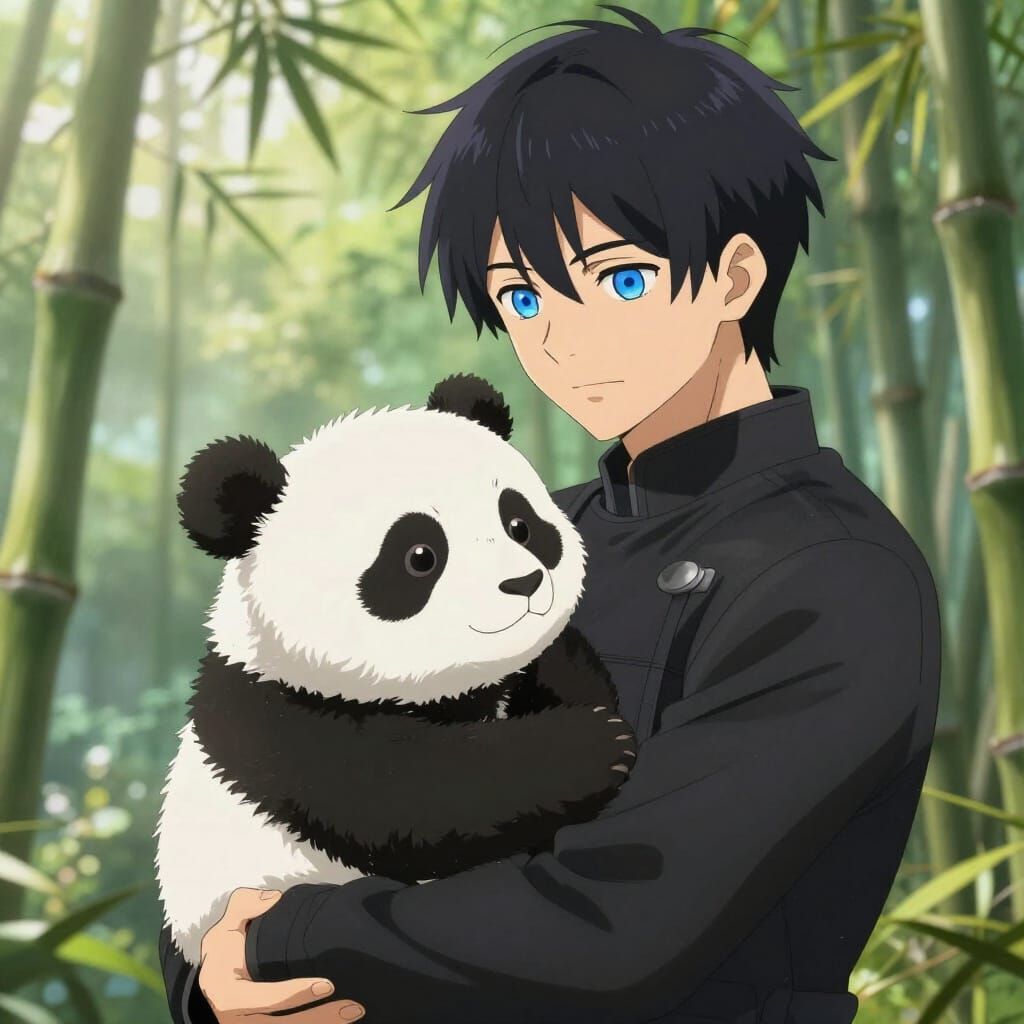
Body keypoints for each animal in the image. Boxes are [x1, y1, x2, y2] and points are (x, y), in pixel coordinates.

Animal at [155, 373, 637, 967]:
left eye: (520, 524)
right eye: (419, 556)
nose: (523, 584)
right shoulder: (279, 724)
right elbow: (413, 795)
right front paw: (593, 746)